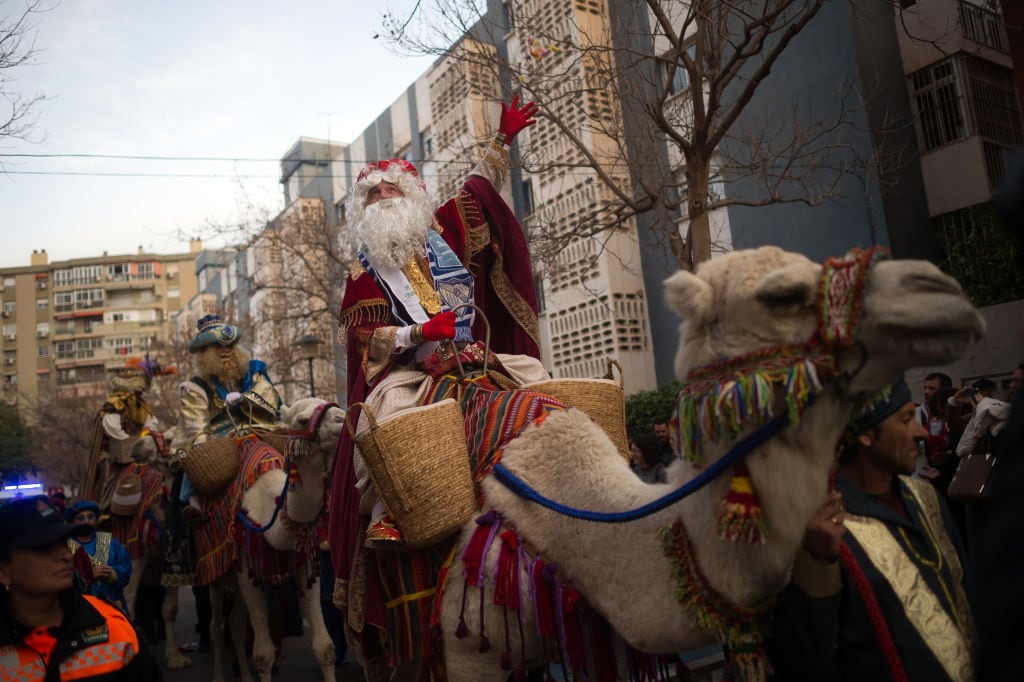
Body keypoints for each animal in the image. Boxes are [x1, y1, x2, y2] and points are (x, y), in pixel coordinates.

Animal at [206, 395, 344, 679]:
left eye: (330, 404)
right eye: (302, 420)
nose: (342, 418)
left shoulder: (304, 560)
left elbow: (324, 647)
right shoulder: (246, 563)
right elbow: (263, 655)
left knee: (235, 625)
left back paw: (246, 678)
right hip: (216, 572)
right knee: (217, 625)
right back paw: (218, 677)